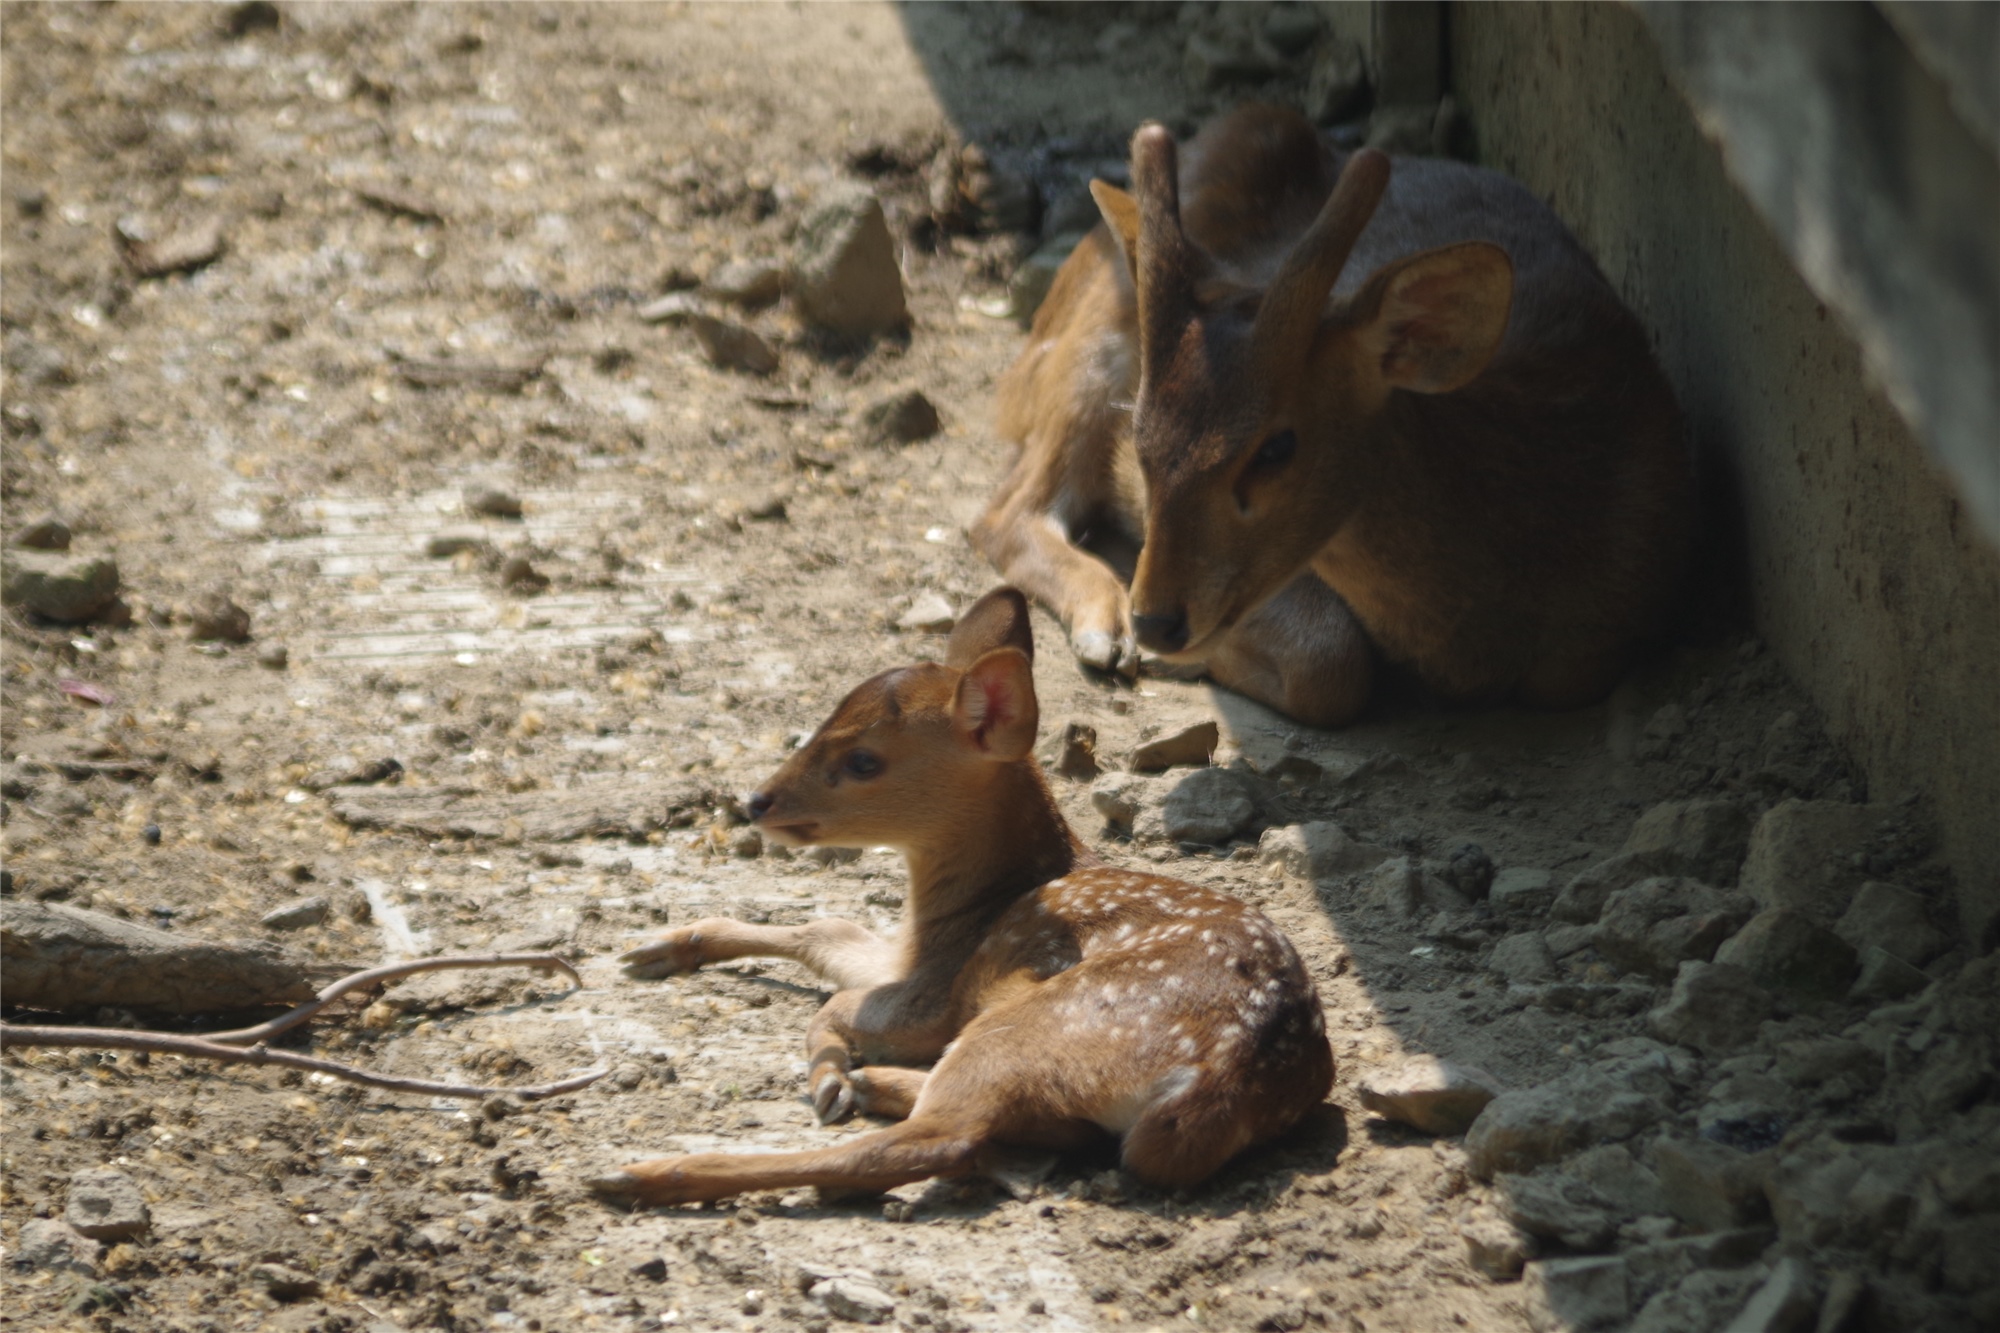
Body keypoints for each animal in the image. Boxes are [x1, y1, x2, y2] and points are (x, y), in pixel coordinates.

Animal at [588, 588, 1328, 1200]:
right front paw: (659, 946)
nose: (755, 801)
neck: (969, 908)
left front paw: (828, 1078)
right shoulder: (910, 959)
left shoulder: (935, 993)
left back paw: (644, 1174)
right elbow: (827, 934)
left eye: (864, 759)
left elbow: (837, 1000)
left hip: (1027, 1024)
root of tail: (1221, 1080)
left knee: (934, 1138)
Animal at [976, 105, 1696, 728]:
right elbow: (1333, 665)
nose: (1157, 619)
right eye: (1139, 440)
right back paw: (1106, 626)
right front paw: (1175, 659)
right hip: (1089, 340)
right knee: (1004, 509)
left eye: (1277, 447)